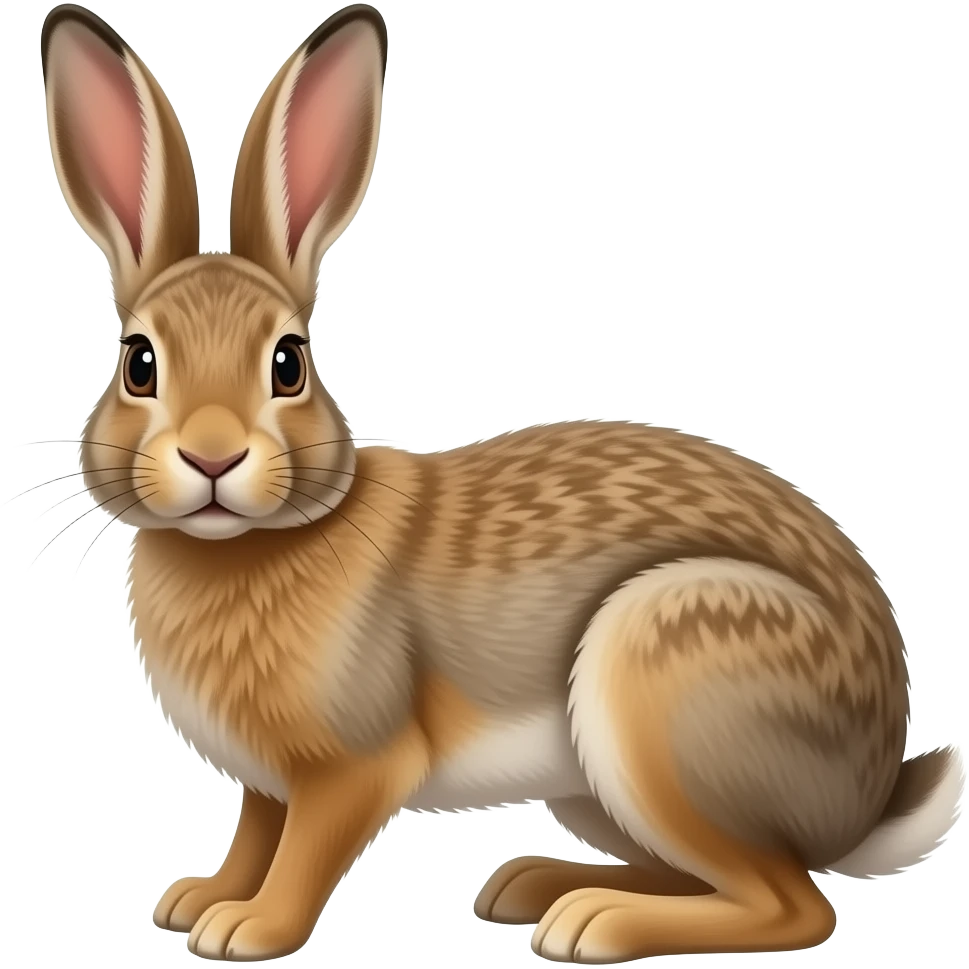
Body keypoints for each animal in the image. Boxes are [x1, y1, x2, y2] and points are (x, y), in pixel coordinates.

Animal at [39, 3, 966, 964]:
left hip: (662, 680)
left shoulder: (352, 764)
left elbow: (303, 849)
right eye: (139, 363)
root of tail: (867, 791)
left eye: (289, 363)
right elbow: (257, 830)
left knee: (792, 904)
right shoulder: (268, 779)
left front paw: (248, 927)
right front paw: (199, 896)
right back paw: (538, 885)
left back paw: (594, 923)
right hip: (600, 786)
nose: (213, 457)